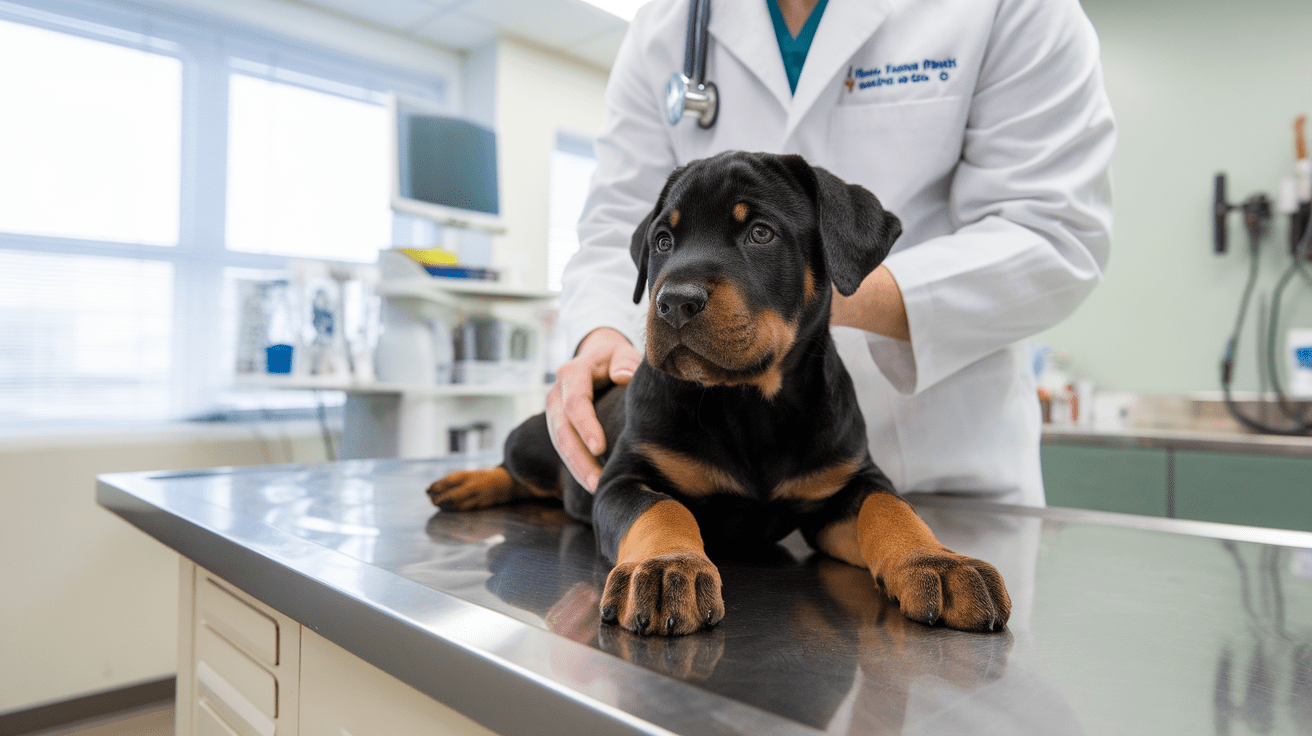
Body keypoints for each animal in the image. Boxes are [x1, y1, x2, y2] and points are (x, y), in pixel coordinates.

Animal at [430, 149, 1012, 632]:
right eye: (663, 241)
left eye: (760, 233)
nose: (672, 303)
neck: (748, 402)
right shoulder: (623, 480)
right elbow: (662, 510)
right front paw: (666, 569)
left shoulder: (845, 484)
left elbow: (892, 509)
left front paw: (939, 562)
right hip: (535, 443)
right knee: (515, 468)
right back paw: (466, 483)